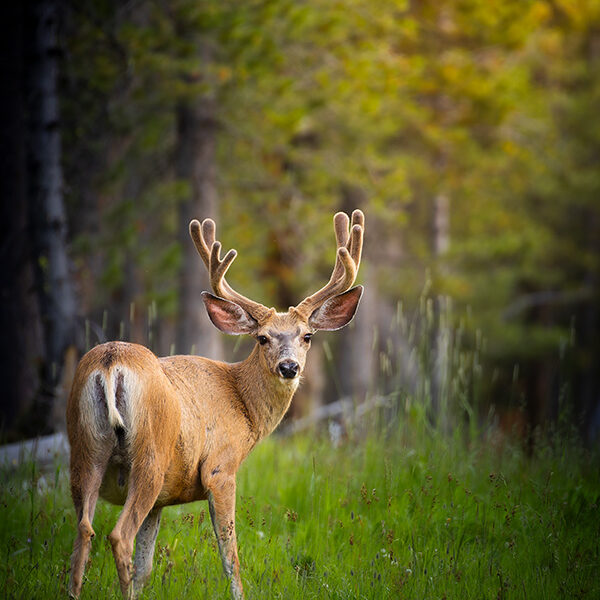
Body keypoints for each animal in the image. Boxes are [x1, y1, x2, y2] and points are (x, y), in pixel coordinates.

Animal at [67, 209, 364, 596]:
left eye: (308, 336)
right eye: (262, 337)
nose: (289, 367)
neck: (242, 403)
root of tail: (110, 362)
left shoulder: (164, 498)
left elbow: (146, 568)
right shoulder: (220, 468)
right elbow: (229, 555)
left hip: (85, 449)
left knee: (84, 531)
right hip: (149, 454)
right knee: (119, 536)